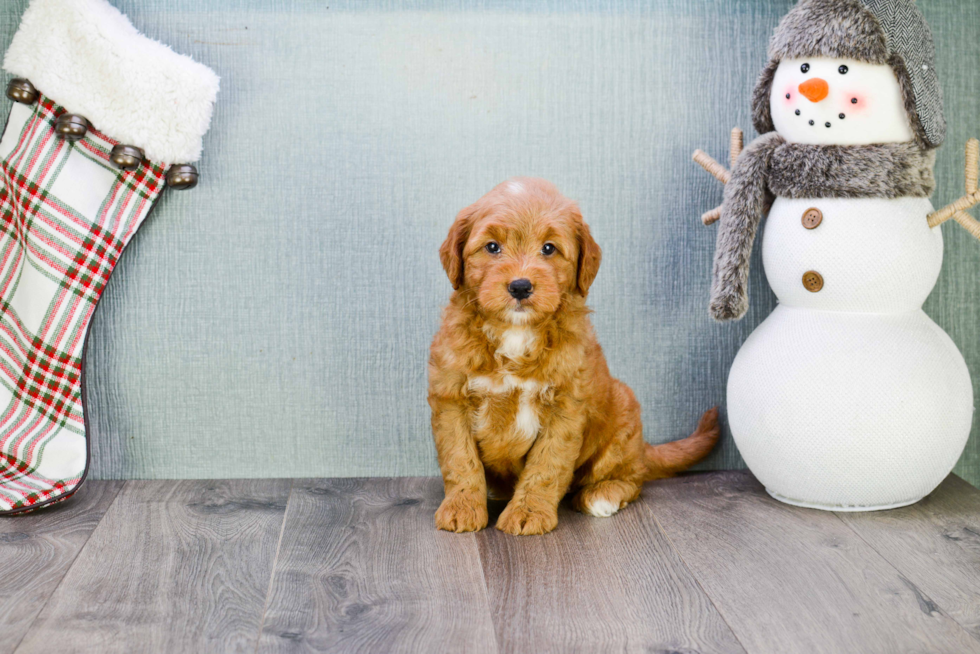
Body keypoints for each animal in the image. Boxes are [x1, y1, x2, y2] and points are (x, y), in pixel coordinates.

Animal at [428, 179, 720, 540]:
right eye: (492, 247)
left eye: (549, 249)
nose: (520, 286)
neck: (516, 332)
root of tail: (643, 447)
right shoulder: (451, 398)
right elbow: (460, 460)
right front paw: (462, 507)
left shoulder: (566, 407)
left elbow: (547, 466)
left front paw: (528, 513)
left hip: (621, 419)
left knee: (632, 478)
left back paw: (602, 496)